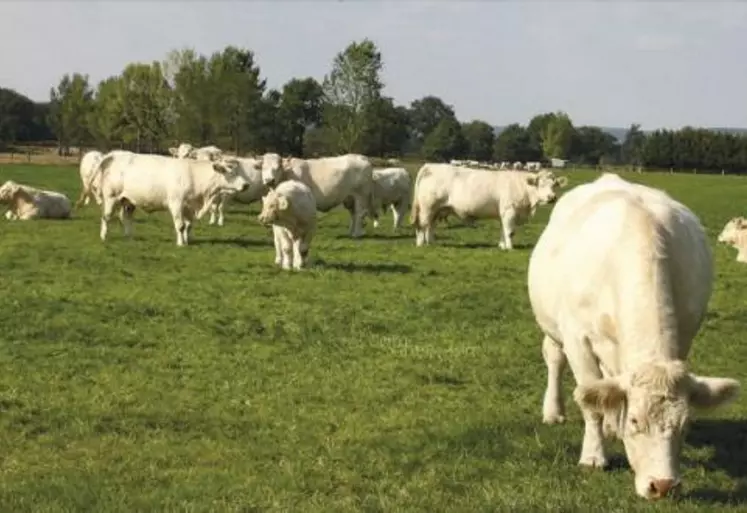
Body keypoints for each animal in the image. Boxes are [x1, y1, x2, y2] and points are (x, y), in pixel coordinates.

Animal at [89, 151, 250, 245]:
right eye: (231, 173)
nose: (246, 185)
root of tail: (114, 155)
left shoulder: (189, 207)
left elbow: (188, 225)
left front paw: (187, 240)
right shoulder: (176, 203)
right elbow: (180, 225)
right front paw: (180, 244)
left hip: (128, 200)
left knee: (126, 217)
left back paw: (129, 236)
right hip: (111, 197)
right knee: (106, 217)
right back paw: (104, 236)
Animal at [410, 162, 568, 246]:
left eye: (554, 185)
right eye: (540, 184)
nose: (552, 197)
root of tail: (430, 165)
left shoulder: (503, 214)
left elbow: (503, 230)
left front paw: (502, 246)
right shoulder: (509, 211)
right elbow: (510, 231)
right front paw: (510, 248)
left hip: (437, 209)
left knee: (431, 225)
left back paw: (431, 243)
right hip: (427, 207)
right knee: (422, 225)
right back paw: (421, 243)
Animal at [528, 171, 740, 496]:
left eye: (685, 425)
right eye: (636, 421)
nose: (662, 486)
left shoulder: (684, 337)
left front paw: (611, 428)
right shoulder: (578, 340)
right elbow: (590, 402)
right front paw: (593, 456)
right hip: (552, 325)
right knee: (554, 358)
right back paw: (554, 411)